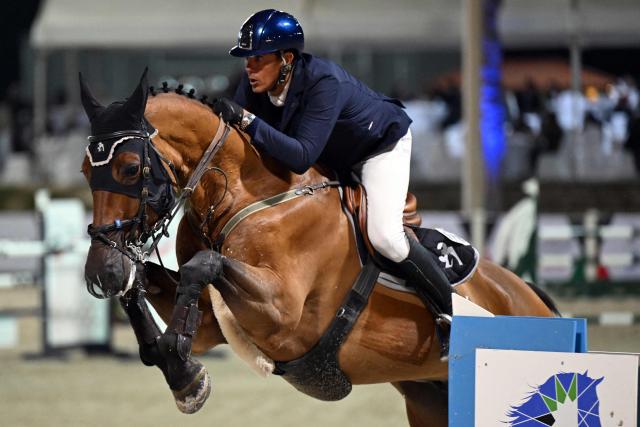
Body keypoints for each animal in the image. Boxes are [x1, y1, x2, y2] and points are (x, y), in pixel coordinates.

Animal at [81, 71, 560, 427]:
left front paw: (182, 370)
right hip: (431, 400)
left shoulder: (283, 314)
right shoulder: (215, 326)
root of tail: (534, 298)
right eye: (86, 171)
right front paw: (182, 376)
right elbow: (149, 290)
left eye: (130, 169)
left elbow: (204, 264)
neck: (242, 194)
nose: (100, 274)